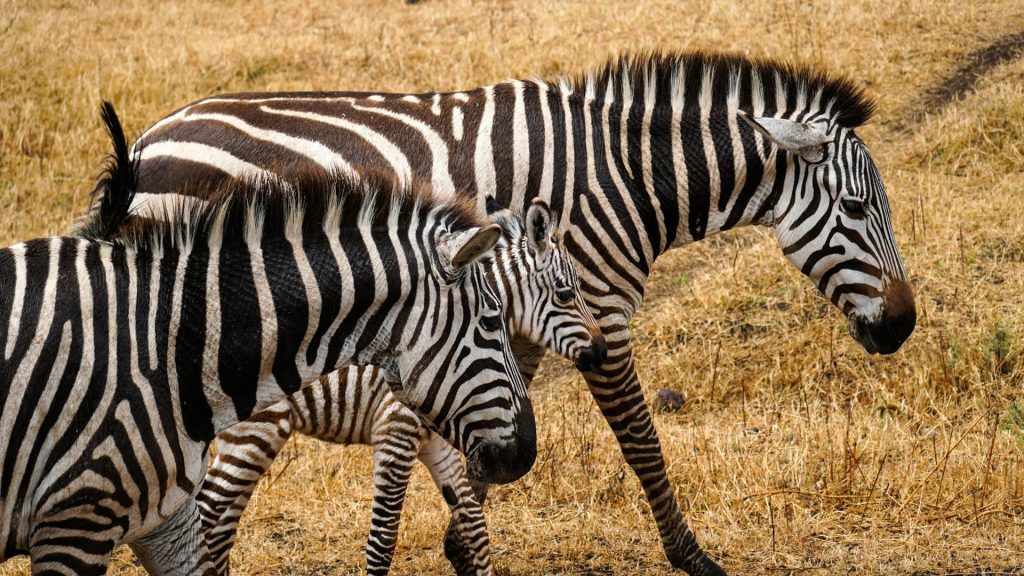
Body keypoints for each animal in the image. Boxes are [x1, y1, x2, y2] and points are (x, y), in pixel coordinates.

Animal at [83, 50, 917, 573]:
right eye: (855, 207)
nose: (903, 326)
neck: (627, 174)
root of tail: (151, 138)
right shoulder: (599, 311)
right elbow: (641, 443)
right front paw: (694, 558)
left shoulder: (531, 315)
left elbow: (492, 412)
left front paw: (462, 535)